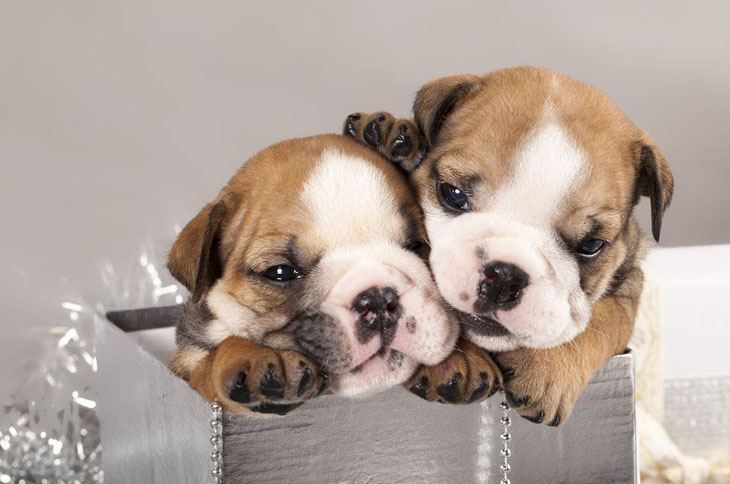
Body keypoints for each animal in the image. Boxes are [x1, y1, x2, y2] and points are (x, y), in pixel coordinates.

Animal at [344, 66, 672, 426]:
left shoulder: (629, 283)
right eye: (452, 194)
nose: (504, 276)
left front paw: (548, 366)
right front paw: (452, 359)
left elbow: (602, 319)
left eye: (591, 245)